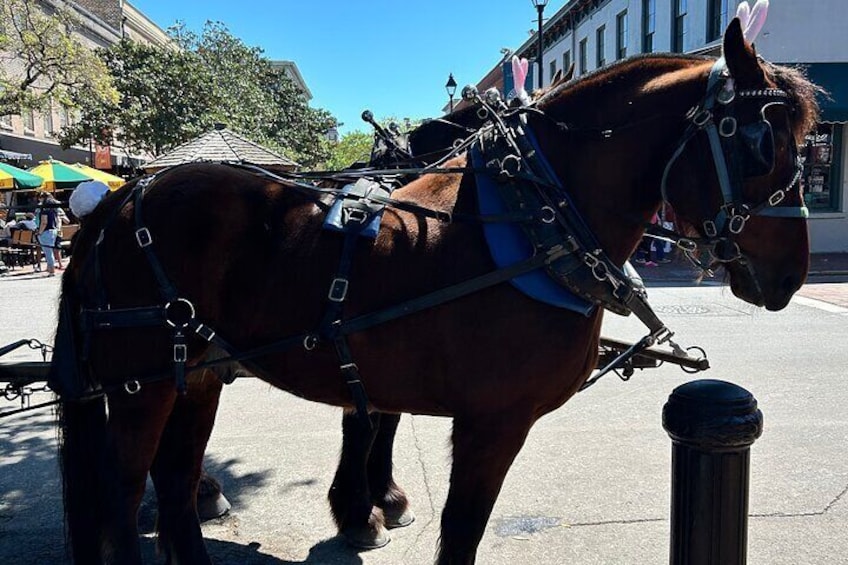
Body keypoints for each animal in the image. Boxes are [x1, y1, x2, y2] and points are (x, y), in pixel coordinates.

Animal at [51, 20, 816, 564]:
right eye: (760, 145)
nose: (791, 276)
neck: (535, 217)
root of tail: (118, 200)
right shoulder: (492, 421)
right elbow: (459, 529)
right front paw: (367, 510)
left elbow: (380, 432)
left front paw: (369, 507)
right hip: (143, 383)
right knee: (125, 494)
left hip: (197, 374)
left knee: (176, 484)